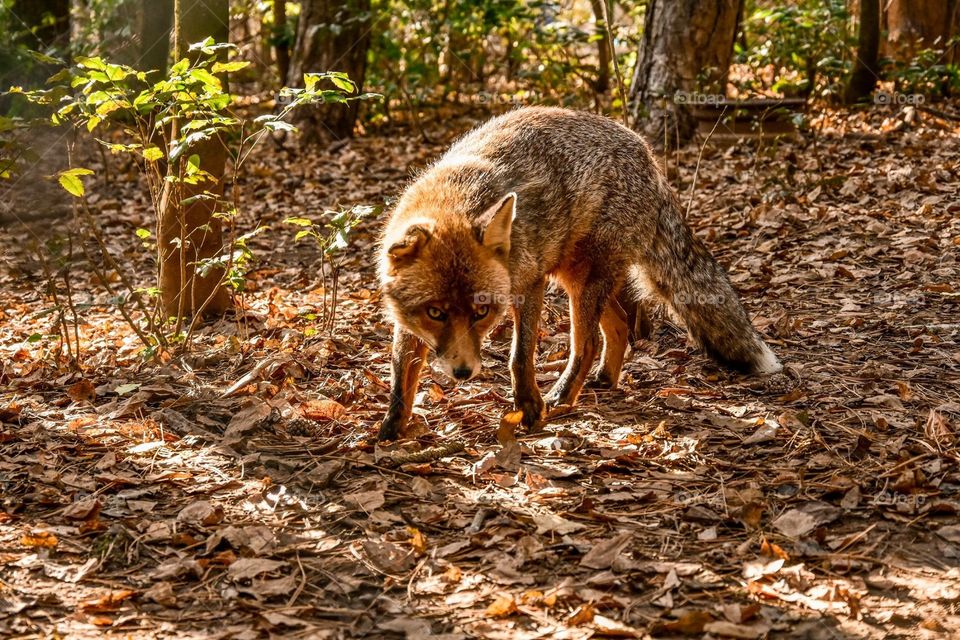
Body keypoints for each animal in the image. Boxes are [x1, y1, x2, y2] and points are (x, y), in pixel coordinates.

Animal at [377, 106, 781, 441]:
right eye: (435, 312)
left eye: (482, 312)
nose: (463, 373)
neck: (453, 196)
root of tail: (649, 157)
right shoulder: (408, 321)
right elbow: (401, 372)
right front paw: (390, 430)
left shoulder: (530, 282)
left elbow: (519, 357)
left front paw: (529, 408)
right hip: (581, 279)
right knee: (619, 327)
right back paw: (604, 380)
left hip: (581, 282)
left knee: (586, 346)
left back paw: (563, 396)